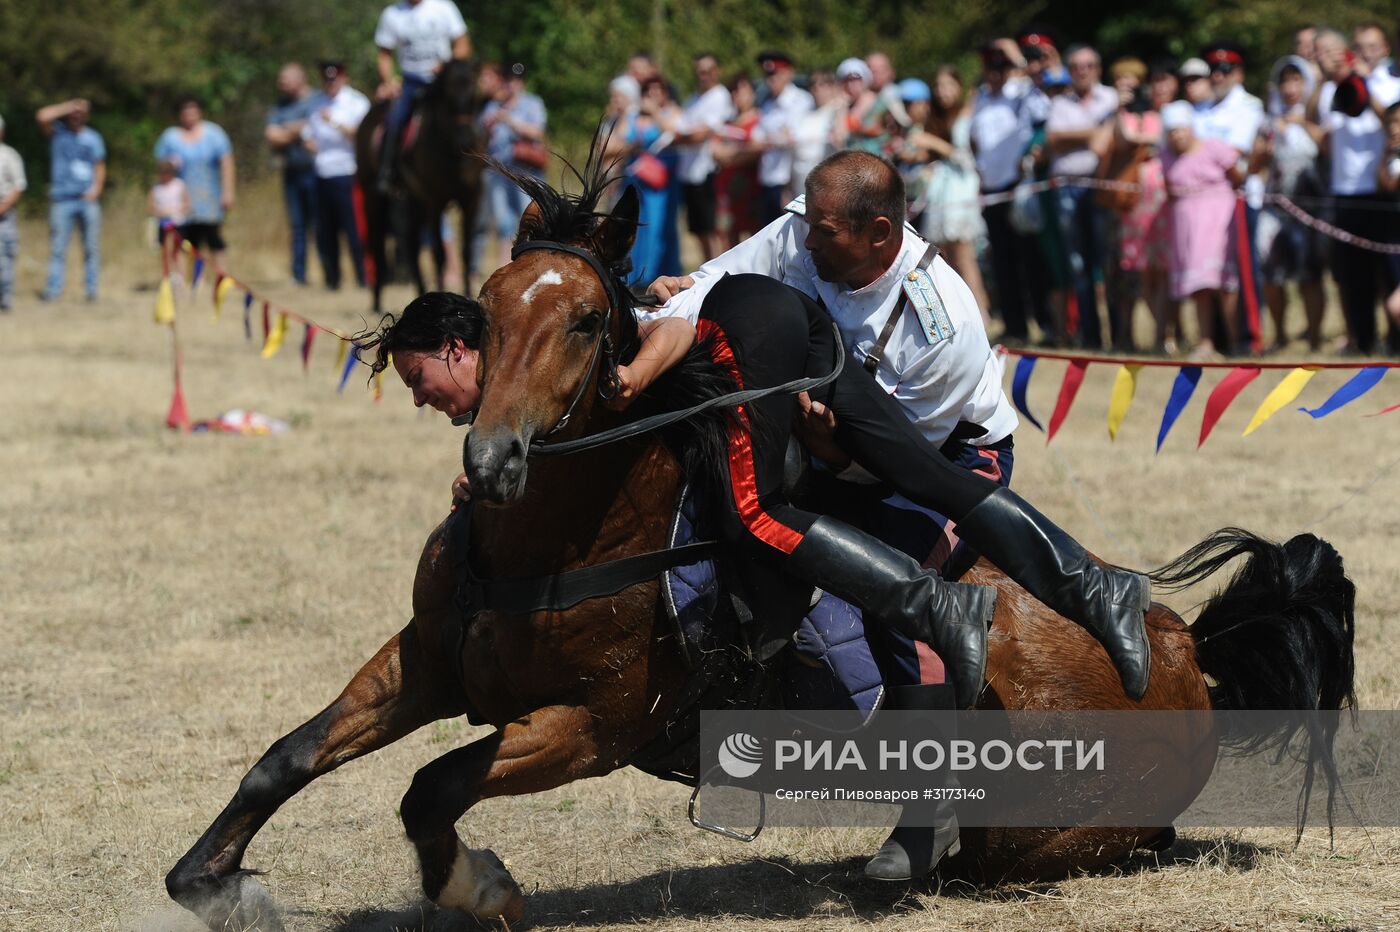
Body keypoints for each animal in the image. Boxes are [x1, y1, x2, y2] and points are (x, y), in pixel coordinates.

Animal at [163, 163, 1355, 923]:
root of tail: (1191, 660)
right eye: (493, 310)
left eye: (585, 320)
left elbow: (433, 789)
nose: (493, 459)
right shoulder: (425, 662)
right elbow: (288, 755)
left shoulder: (588, 726)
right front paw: (211, 882)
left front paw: (480, 885)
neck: (550, 544)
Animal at [355, 59, 487, 312]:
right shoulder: (435, 201)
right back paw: (377, 301)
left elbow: (467, 251)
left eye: (475, 96)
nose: (465, 139)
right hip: (374, 197)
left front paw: (467, 292)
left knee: (412, 245)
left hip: (413, 201)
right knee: (377, 245)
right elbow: (439, 253)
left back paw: (420, 292)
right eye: (449, 96)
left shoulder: (472, 199)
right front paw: (445, 295)